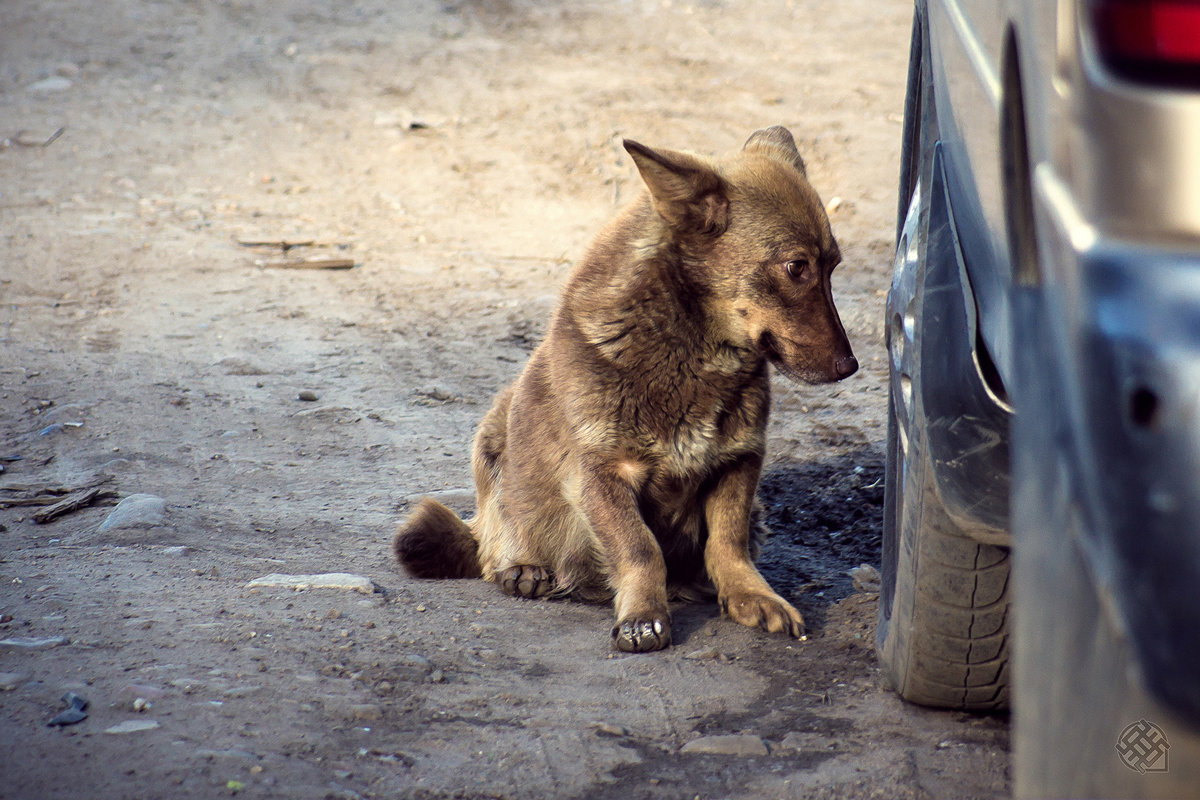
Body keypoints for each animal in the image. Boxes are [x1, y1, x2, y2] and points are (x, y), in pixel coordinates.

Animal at [398, 125, 859, 652]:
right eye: (796, 267)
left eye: (833, 266)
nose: (851, 366)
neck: (694, 350)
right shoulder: (602, 476)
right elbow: (641, 549)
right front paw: (643, 615)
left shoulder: (738, 463)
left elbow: (728, 543)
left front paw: (750, 597)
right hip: (492, 438)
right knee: (490, 540)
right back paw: (523, 568)